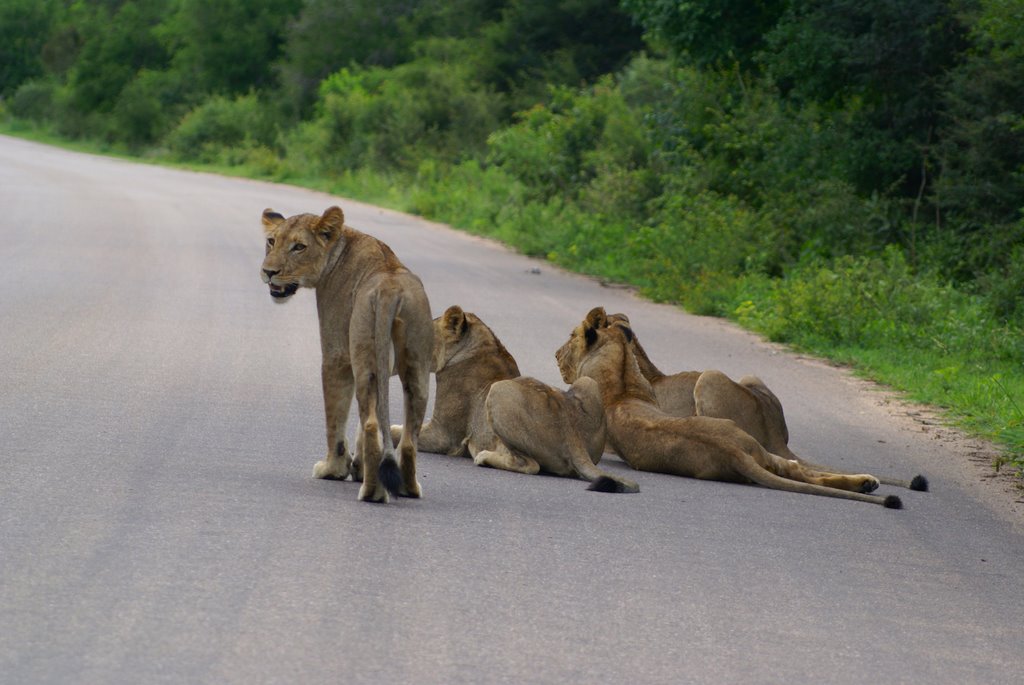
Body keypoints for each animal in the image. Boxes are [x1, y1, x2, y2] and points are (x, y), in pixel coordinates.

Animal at [262, 204, 434, 501]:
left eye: (299, 247)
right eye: (271, 241)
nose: (268, 272)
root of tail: (390, 290)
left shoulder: (337, 357)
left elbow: (336, 419)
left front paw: (333, 469)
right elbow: (361, 424)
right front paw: (359, 467)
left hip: (365, 355)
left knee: (372, 425)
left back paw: (372, 493)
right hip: (417, 368)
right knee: (408, 437)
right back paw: (409, 488)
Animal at [393, 305, 638, 491]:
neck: (481, 345)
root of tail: (573, 436)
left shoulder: (443, 436)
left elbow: (397, 432)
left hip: (498, 390)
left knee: (530, 465)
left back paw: (483, 457)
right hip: (587, 382)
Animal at [561, 307, 905, 505]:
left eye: (571, 337)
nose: (556, 354)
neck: (622, 385)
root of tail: (773, 430)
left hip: (710, 377)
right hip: (750, 383)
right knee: (795, 467)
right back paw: (866, 483)